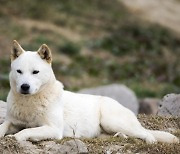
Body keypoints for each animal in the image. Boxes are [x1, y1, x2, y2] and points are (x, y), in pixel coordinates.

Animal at [0, 40, 179, 144]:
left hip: (111, 121)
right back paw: (120, 137)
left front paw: (15, 137)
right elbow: (3, 126)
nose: (24, 87)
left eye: (35, 72)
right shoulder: (12, 121)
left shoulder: (53, 129)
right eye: (19, 71)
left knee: (147, 134)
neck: (29, 103)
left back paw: (149, 141)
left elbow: (27, 131)